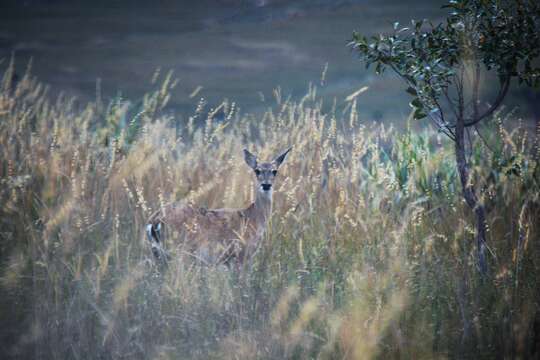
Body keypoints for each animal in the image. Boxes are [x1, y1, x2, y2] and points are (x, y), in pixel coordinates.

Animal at [144, 146, 292, 268]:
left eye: (274, 171)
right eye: (257, 170)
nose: (266, 185)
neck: (253, 218)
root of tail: (154, 221)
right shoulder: (241, 254)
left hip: (158, 254)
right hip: (179, 251)